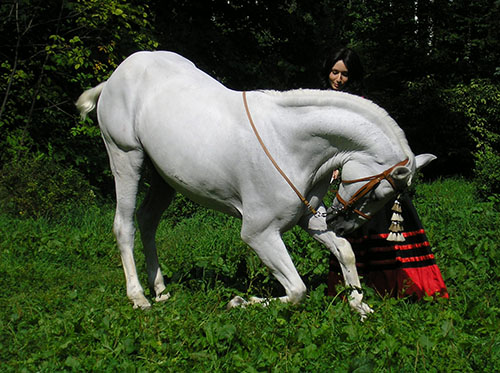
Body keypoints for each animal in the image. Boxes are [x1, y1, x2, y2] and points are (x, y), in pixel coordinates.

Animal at [75, 50, 434, 318]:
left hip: (164, 177)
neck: (290, 142)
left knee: (148, 220)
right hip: (126, 156)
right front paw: (240, 301)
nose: (342, 223)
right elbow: (297, 290)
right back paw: (139, 297)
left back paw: (161, 290)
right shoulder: (258, 233)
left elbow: (344, 252)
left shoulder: (308, 218)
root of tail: (116, 76)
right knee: (124, 225)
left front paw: (360, 305)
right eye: (379, 191)